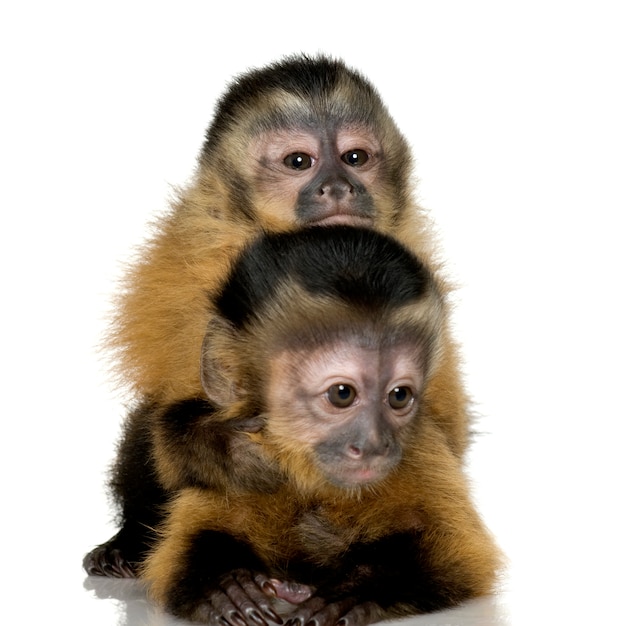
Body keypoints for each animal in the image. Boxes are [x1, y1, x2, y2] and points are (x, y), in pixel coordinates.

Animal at [84, 53, 482, 584]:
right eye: (299, 162)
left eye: (356, 157)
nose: (339, 187)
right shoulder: (199, 268)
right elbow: (173, 410)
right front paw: (222, 446)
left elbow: (439, 428)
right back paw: (130, 540)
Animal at [136, 225, 498, 624]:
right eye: (342, 394)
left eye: (399, 396)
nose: (375, 444)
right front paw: (227, 584)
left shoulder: (423, 452)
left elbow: (460, 556)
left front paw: (355, 589)